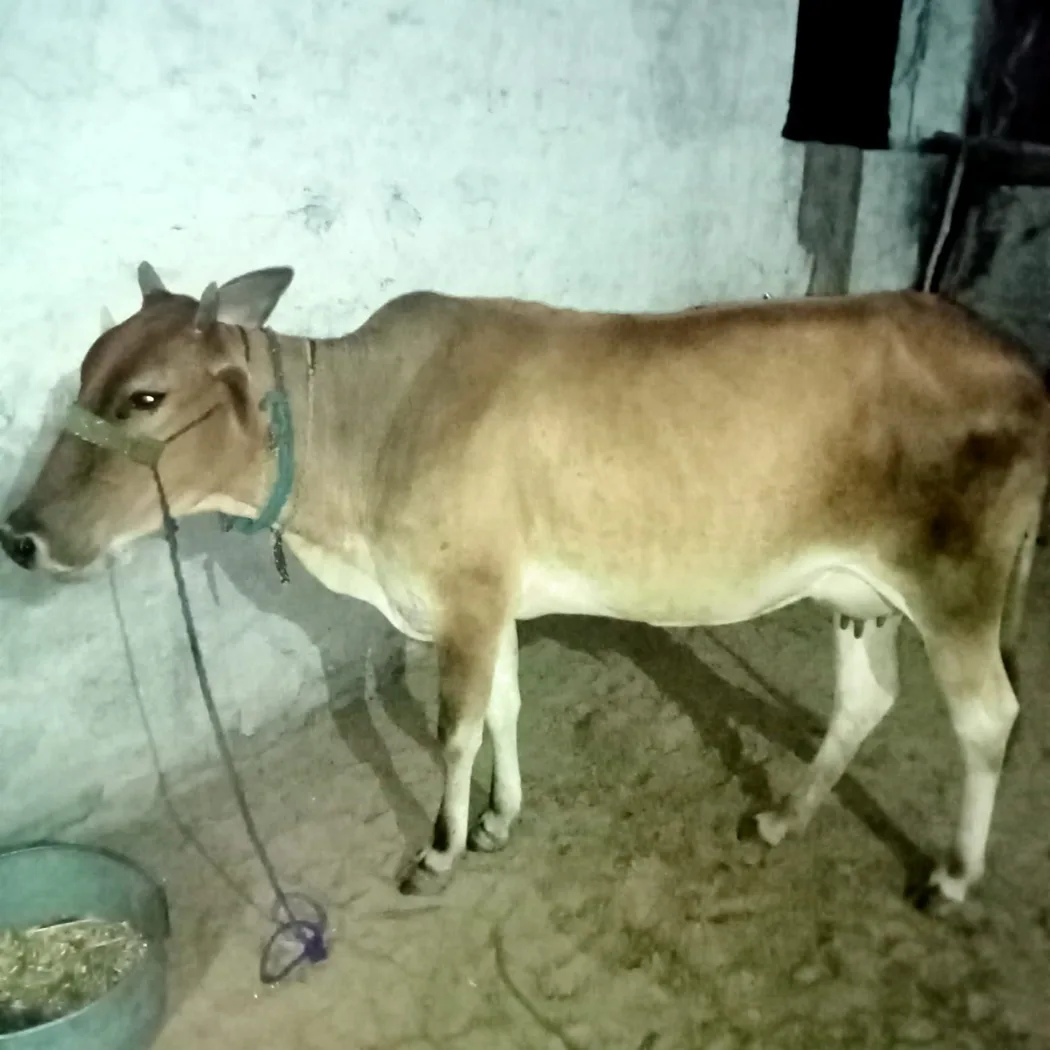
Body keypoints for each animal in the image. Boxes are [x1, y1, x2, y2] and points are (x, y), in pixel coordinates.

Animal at [3, 262, 1048, 909]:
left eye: (145, 398)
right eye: (87, 376)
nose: (21, 536)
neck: (367, 428)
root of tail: (1013, 356)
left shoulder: (464, 599)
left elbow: (455, 729)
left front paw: (438, 851)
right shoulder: (493, 598)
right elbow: (505, 707)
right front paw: (501, 819)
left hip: (954, 585)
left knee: (987, 717)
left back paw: (952, 878)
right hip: (855, 592)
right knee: (866, 699)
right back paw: (784, 816)